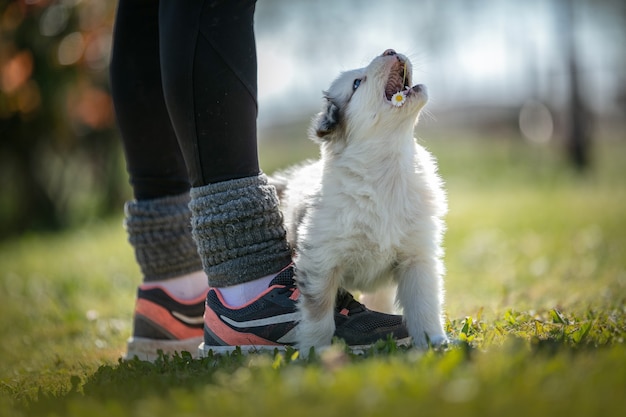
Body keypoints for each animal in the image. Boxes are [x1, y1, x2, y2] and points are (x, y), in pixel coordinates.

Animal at [276, 49, 446, 354]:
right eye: (356, 83)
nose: (390, 50)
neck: (386, 172)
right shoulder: (320, 261)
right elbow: (318, 314)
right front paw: (315, 351)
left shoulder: (417, 257)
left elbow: (423, 304)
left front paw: (433, 341)